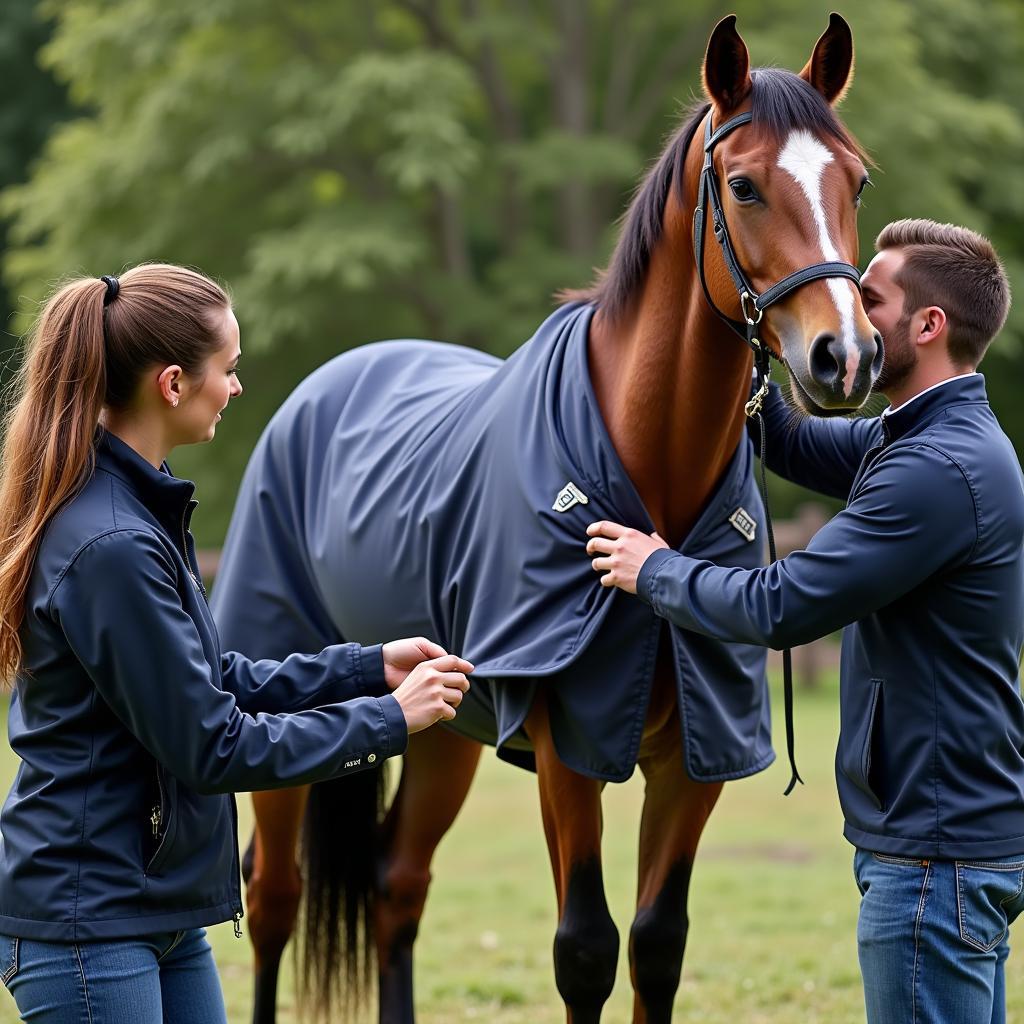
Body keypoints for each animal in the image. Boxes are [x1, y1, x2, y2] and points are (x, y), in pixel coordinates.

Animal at [214, 16, 880, 1024]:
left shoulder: (696, 758)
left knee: (396, 884)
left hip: (440, 725)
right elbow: (586, 951)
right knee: (276, 899)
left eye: (857, 180)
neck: (649, 475)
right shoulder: (571, 752)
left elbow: (657, 945)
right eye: (744, 184)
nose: (846, 356)